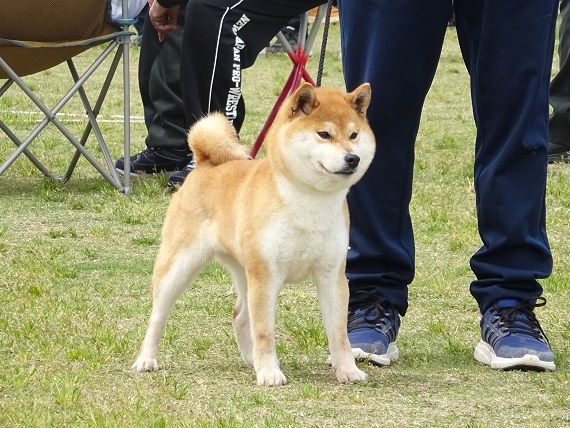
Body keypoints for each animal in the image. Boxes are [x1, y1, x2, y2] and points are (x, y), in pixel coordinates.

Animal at [131, 82, 374, 386]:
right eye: (324, 134)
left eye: (354, 135)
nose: (353, 158)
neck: (309, 200)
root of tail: (204, 163)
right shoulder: (266, 274)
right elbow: (264, 331)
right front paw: (270, 372)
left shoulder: (332, 275)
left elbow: (339, 334)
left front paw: (348, 369)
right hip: (180, 266)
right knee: (158, 315)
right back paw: (146, 359)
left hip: (244, 272)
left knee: (239, 315)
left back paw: (251, 359)